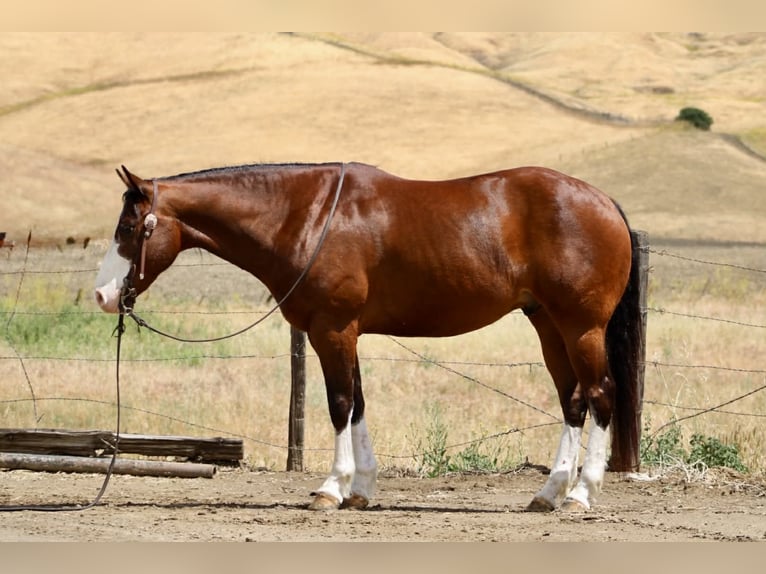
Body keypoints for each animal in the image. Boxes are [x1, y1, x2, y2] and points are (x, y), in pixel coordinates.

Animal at [94, 161, 642, 512]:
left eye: (128, 227)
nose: (102, 295)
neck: (308, 217)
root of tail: (605, 203)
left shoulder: (332, 329)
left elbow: (339, 403)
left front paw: (330, 489)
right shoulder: (345, 332)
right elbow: (357, 402)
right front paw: (361, 489)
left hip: (581, 327)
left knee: (600, 396)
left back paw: (581, 495)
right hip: (547, 323)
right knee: (573, 401)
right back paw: (549, 494)